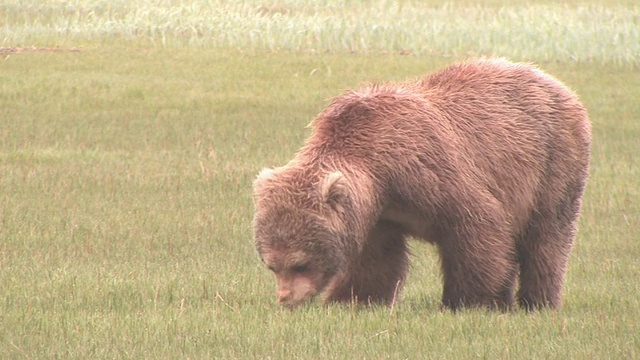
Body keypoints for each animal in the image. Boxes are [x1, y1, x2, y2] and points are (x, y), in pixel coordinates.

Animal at [252, 57, 592, 310]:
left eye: (300, 263)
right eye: (272, 265)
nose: (286, 299)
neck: (380, 172)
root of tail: (554, 81)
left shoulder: (428, 168)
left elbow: (478, 224)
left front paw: (467, 301)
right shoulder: (379, 215)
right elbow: (375, 261)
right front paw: (352, 300)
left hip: (552, 160)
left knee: (547, 236)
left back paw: (538, 301)